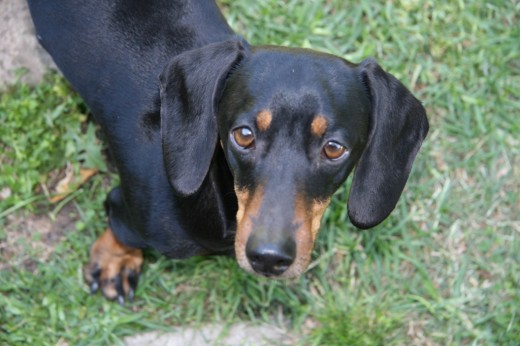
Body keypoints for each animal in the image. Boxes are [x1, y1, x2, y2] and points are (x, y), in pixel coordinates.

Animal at [26, 0, 428, 302]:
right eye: (244, 135)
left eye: (333, 149)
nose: (268, 259)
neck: (217, 189)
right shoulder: (134, 212)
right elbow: (119, 225)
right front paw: (116, 260)